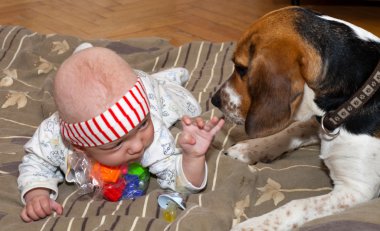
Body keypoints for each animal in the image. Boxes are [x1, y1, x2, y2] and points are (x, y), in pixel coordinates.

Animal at [211, 6, 380, 230]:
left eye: (241, 68)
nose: (214, 100)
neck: (358, 90)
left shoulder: (355, 191)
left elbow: (296, 205)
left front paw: (250, 226)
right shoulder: (320, 123)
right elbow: (291, 129)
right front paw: (250, 148)